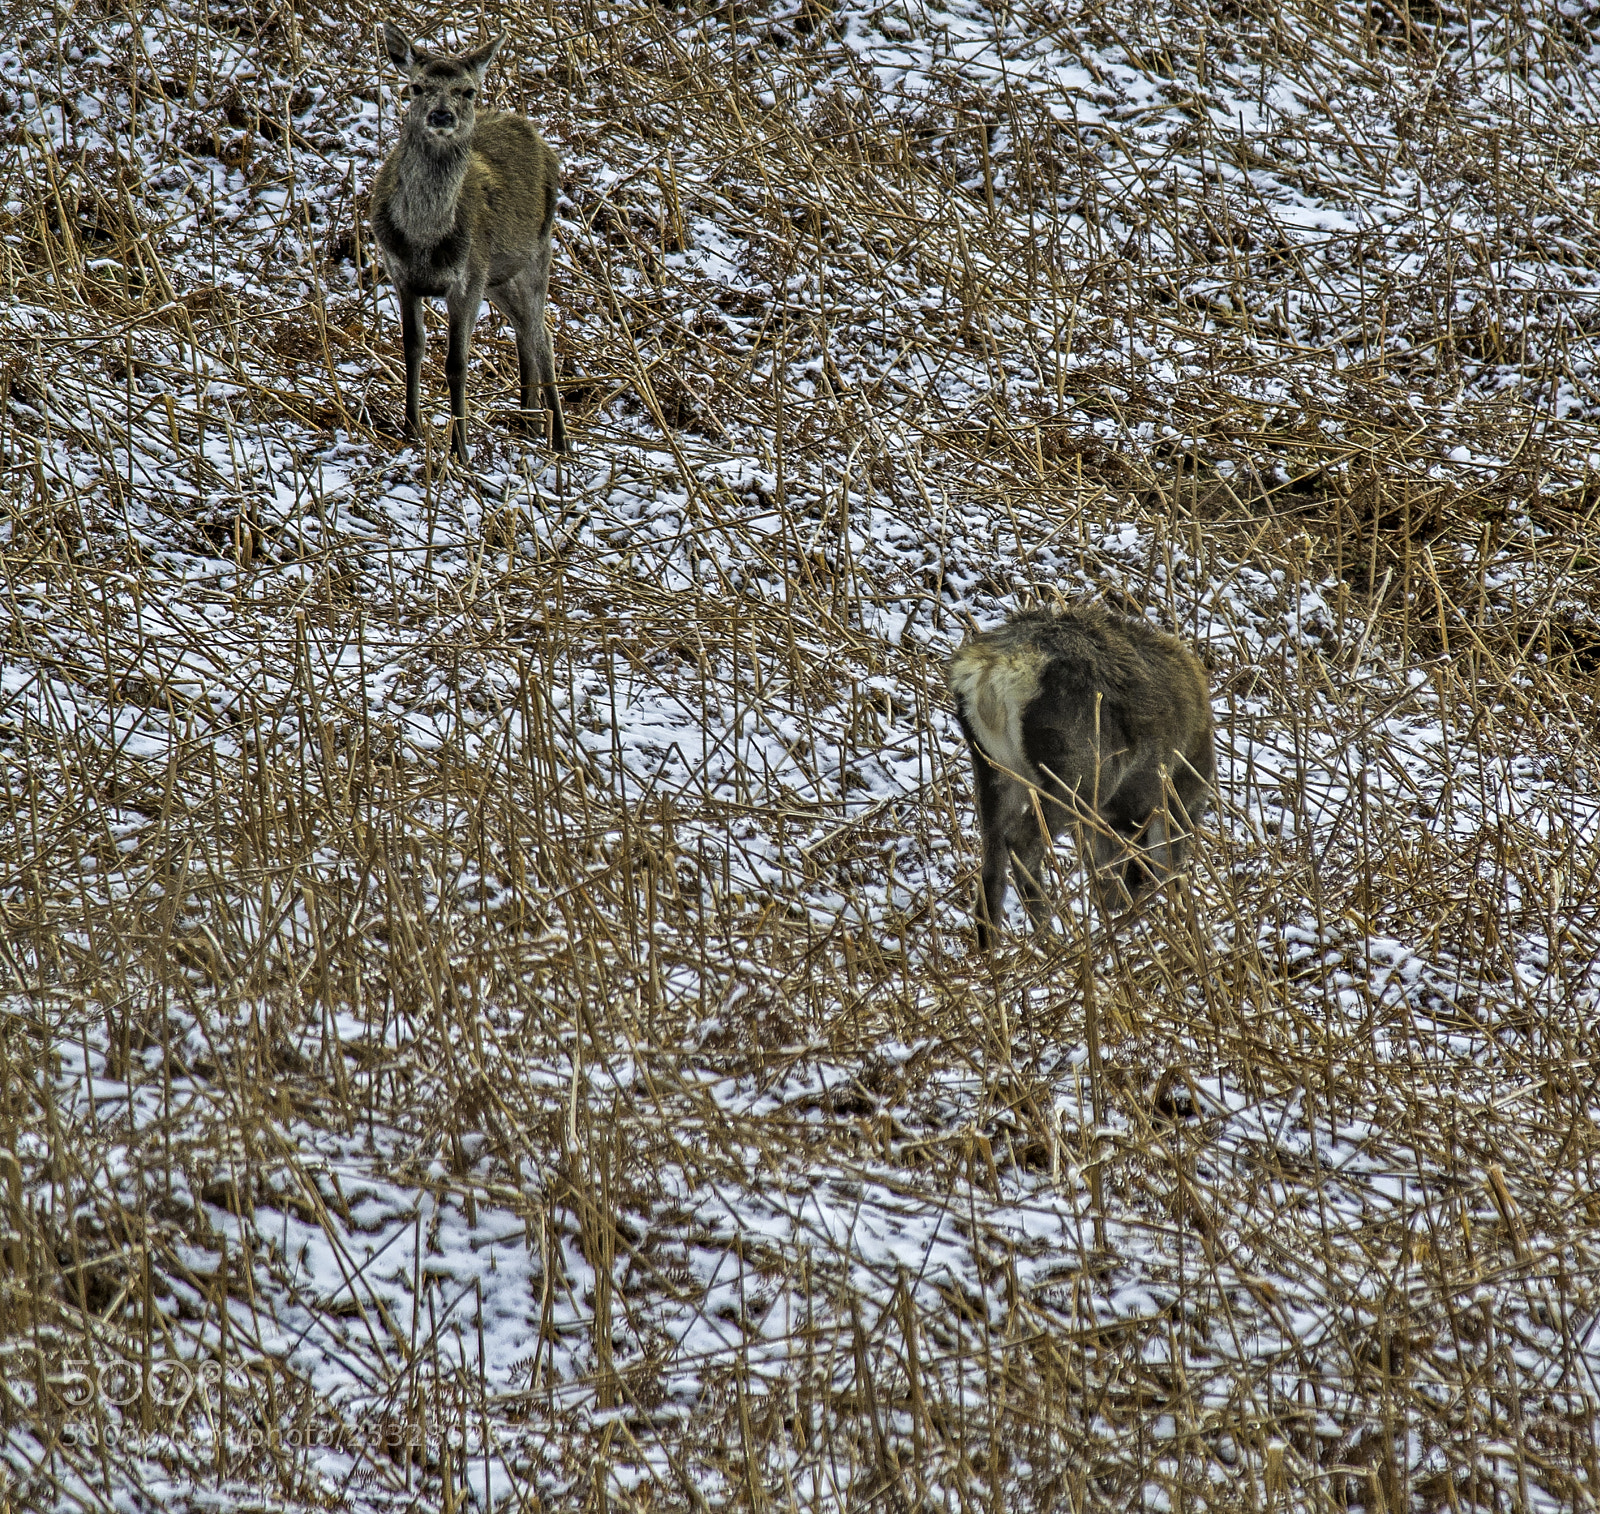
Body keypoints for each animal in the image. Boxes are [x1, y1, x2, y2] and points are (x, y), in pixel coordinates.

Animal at [370, 23, 567, 461]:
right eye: (416, 87)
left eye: (468, 91)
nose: (441, 115)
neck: (424, 238)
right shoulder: (400, 274)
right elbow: (412, 347)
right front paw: (411, 429)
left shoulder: (467, 280)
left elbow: (456, 363)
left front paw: (460, 449)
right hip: (498, 277)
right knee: (527, 329)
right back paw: (528, 421)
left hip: (536, 252)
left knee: (541, 334)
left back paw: (560, 439)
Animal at [947, 603, 1215, 951]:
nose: (1121, 904)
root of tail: (990, 671)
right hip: (1077, 771)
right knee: (1022, 842)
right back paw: (1051, 940)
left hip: (990, 766)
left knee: (991, 858)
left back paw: (991, 951)